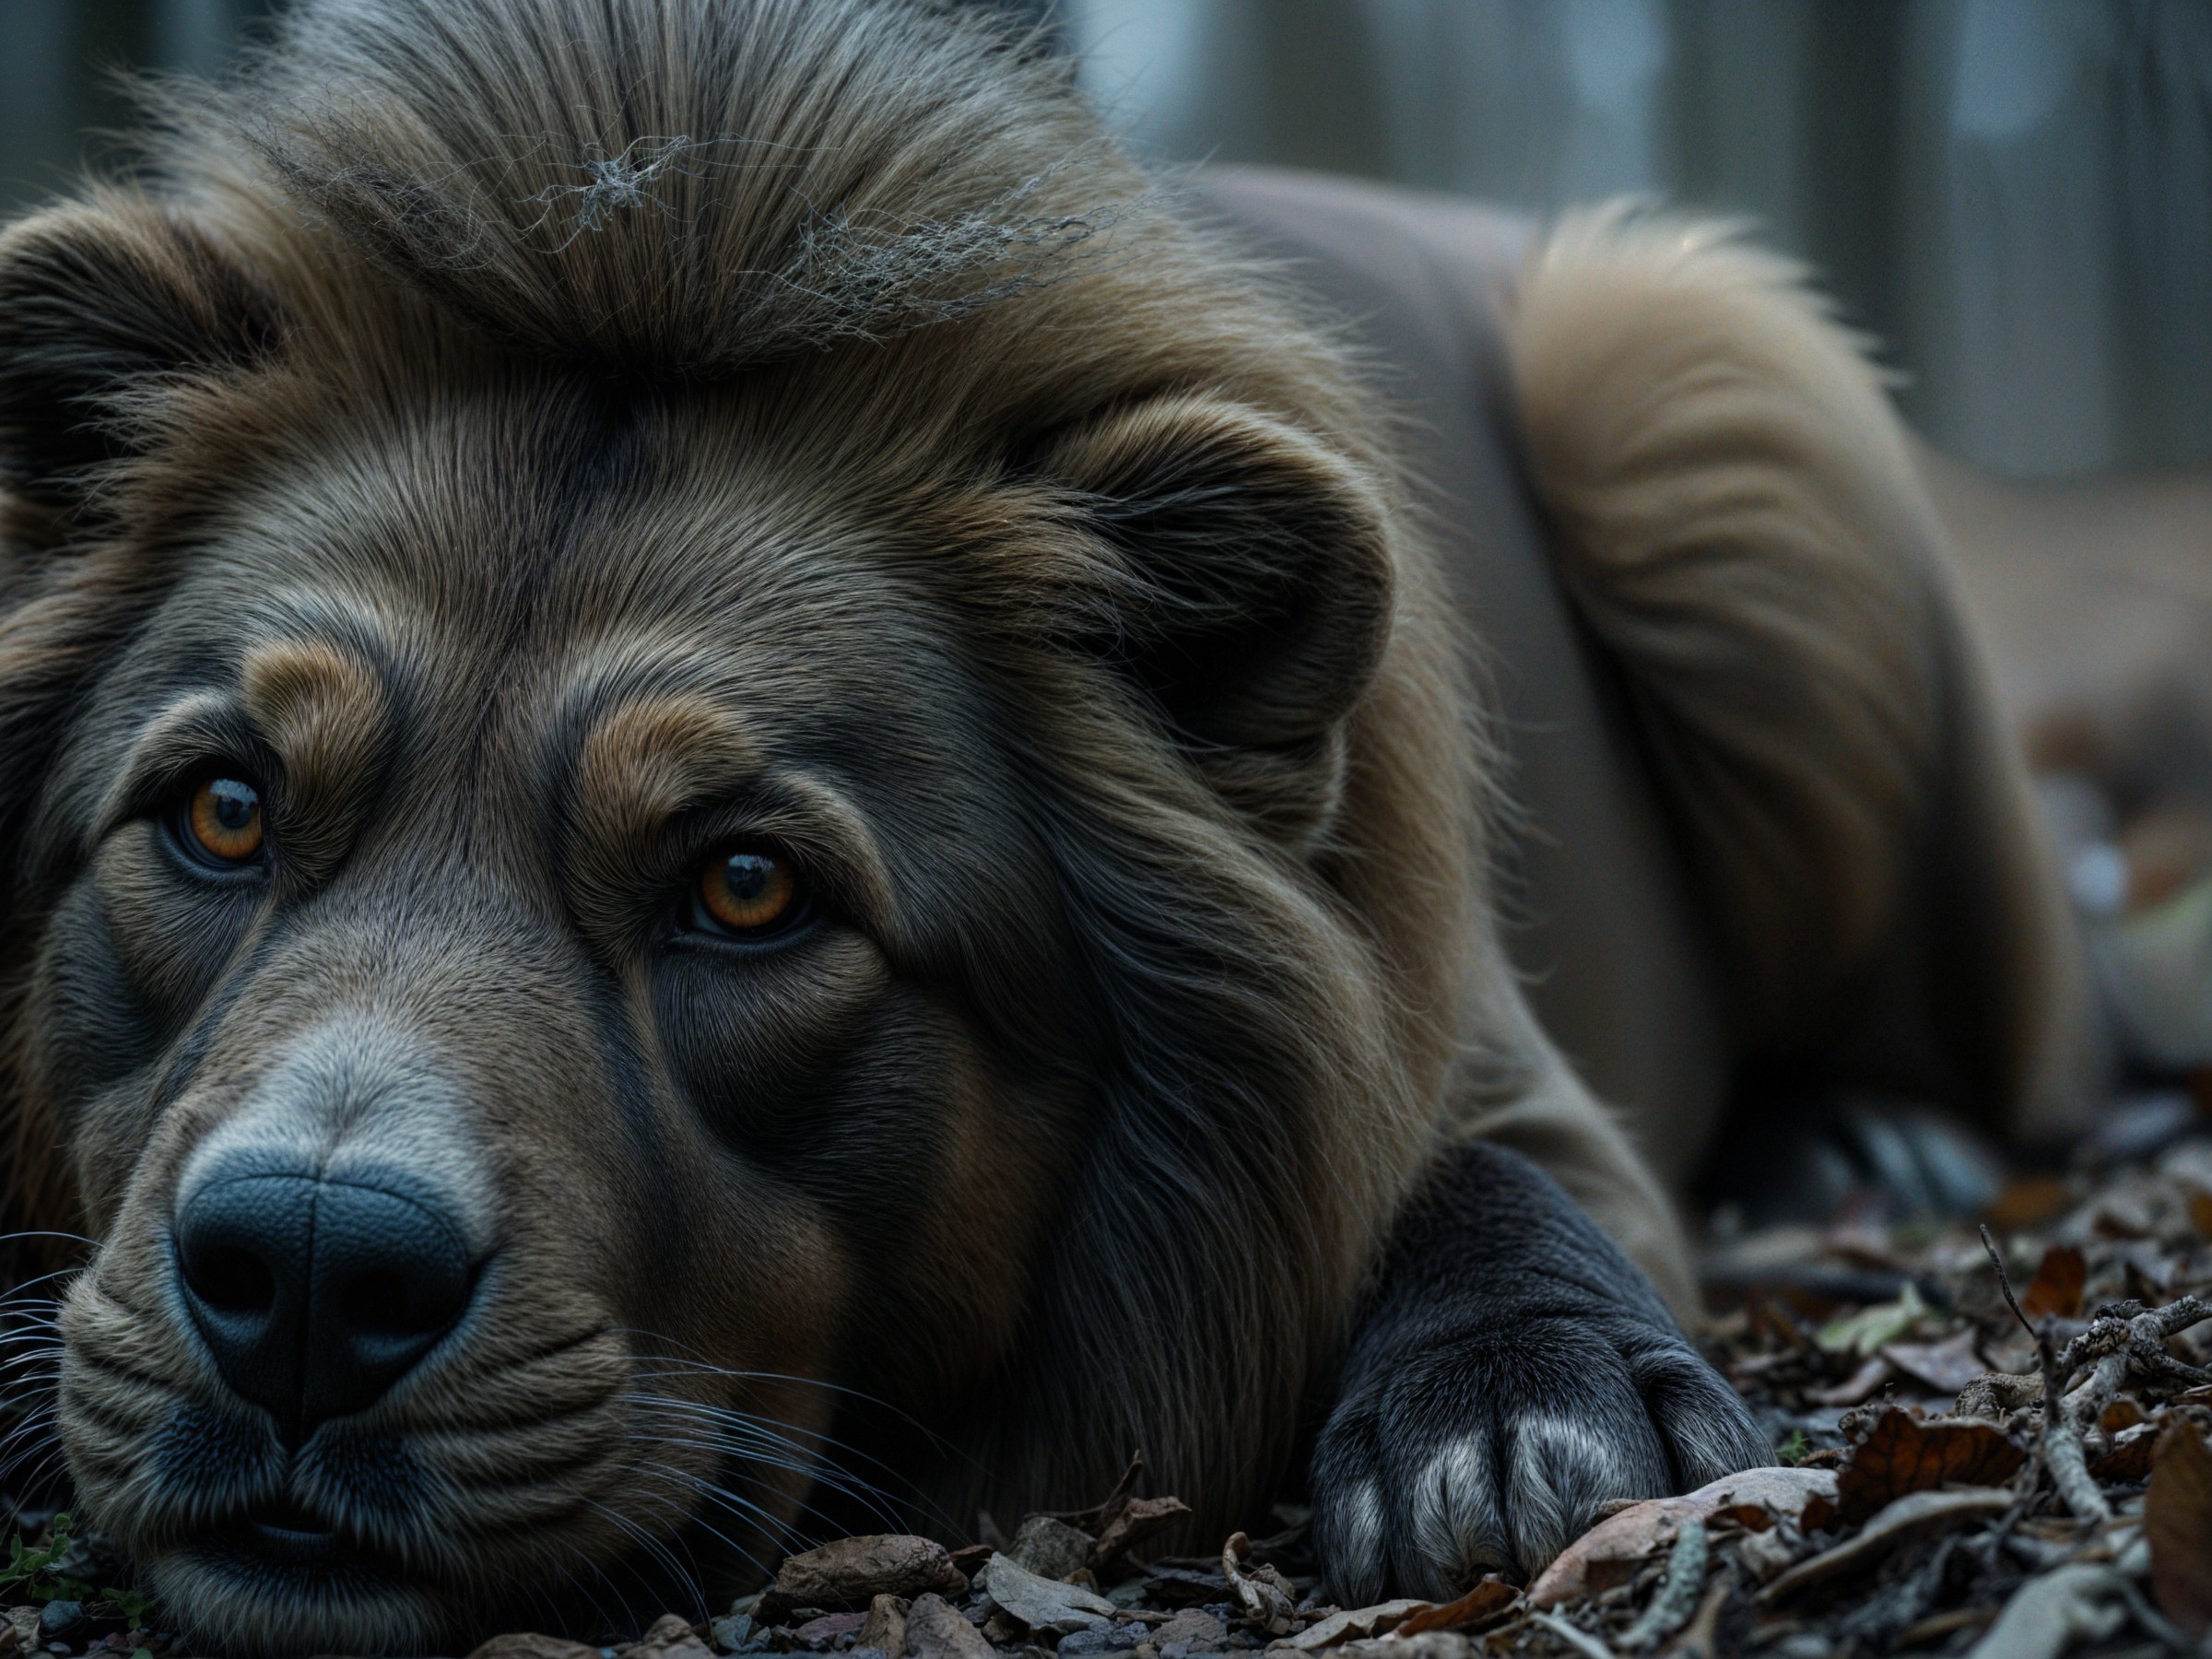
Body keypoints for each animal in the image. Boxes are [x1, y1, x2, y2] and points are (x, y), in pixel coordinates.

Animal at [0, 0, 2085, 1652]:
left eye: (745, 887)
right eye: (222, 811)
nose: (307, 1281)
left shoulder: (1483, 1056)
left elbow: (1479, 1176)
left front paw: (1526, 1401)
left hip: (1690, 369)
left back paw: (1865, 1143)